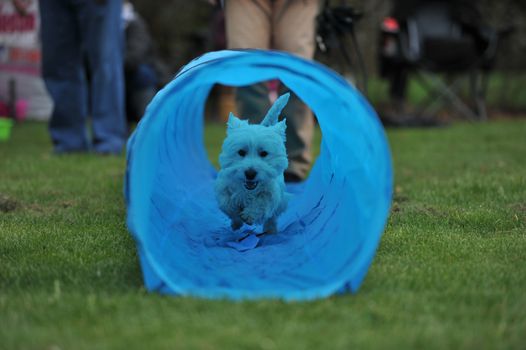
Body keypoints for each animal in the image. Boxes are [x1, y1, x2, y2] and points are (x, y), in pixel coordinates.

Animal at [219, 93, 292, 235]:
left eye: (264, 153)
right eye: (241, 152)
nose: (250, 173)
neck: (247, 190)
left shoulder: (272, 191)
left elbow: (262, 202)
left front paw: (248, 215)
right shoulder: (223, 186)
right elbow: (227, 204)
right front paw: (236, 219)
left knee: (272, 218)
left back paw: (270, 231)